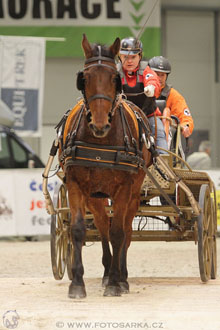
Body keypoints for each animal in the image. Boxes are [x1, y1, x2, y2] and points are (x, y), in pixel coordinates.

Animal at [57, 34, 152, 298]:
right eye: (85, 78)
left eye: (113, 79)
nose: (100, 125)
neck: (101, 141)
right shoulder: (76, 185)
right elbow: (79, 230)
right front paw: (77, 283)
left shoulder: (124, 189)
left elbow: (119, 232)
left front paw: (116, 284)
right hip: (96, 196)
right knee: (102, 227)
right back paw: (108, 271)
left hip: (133, 193)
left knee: (126, 231)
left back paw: (122, 277)